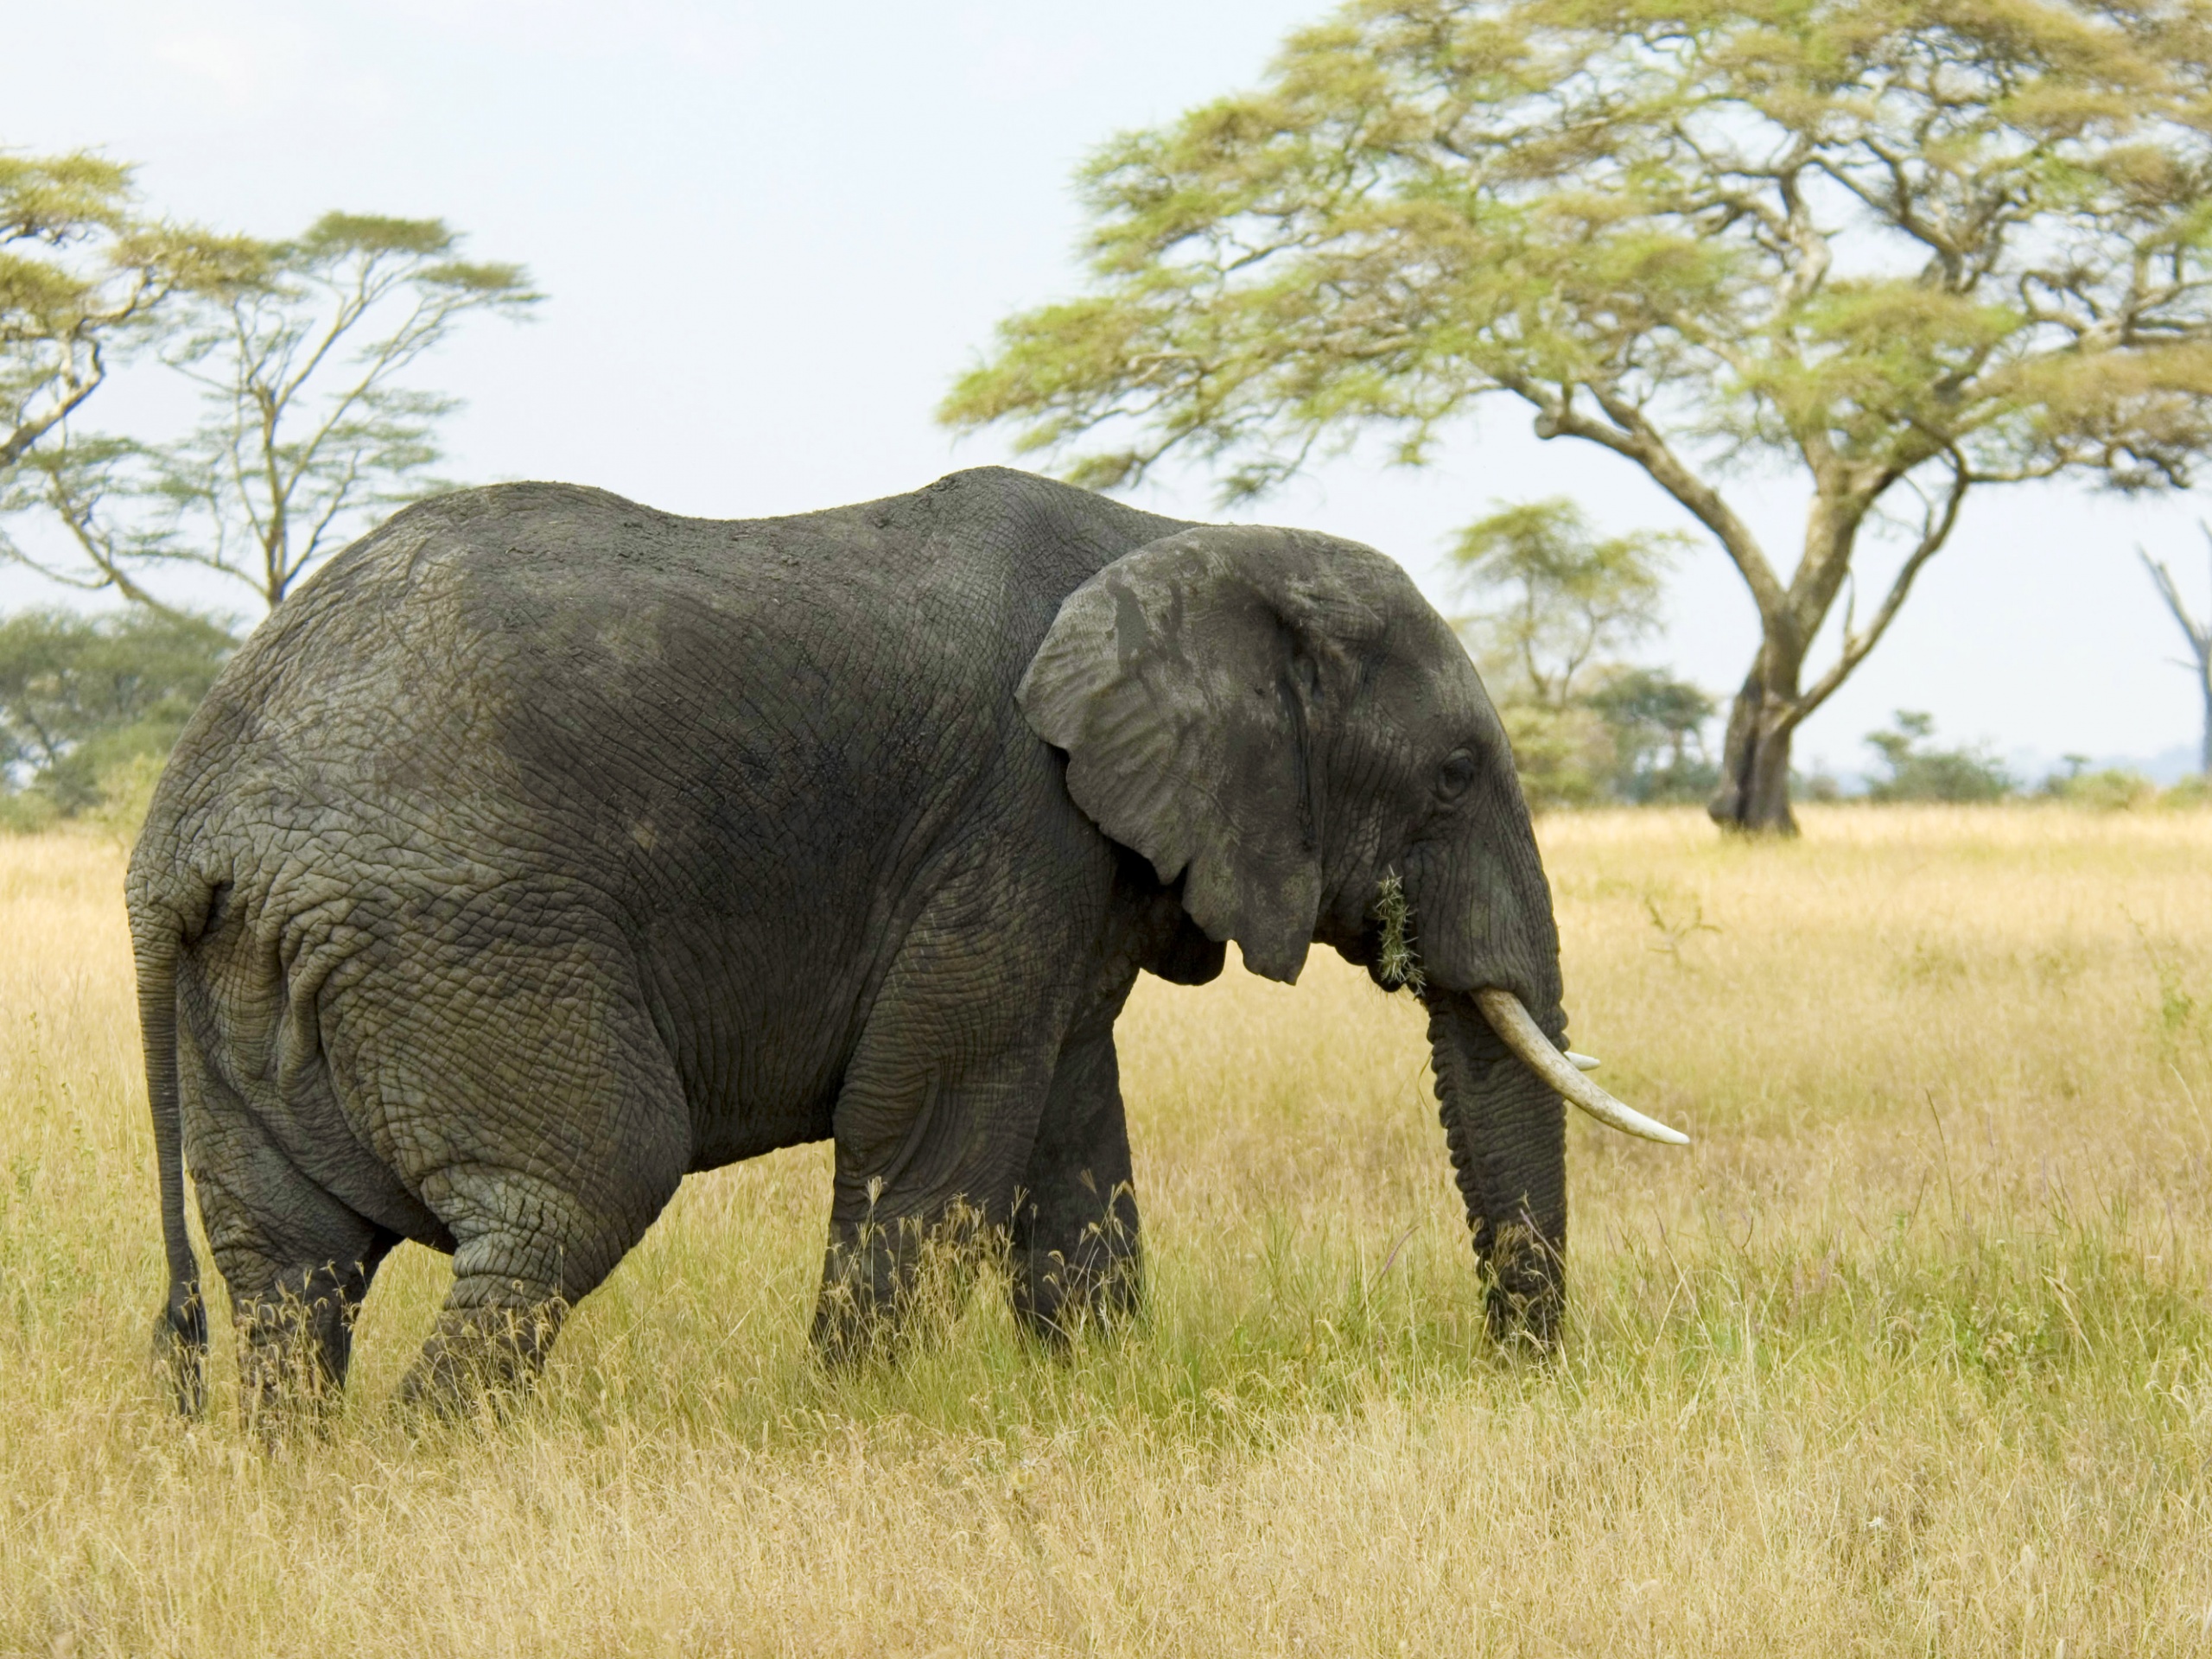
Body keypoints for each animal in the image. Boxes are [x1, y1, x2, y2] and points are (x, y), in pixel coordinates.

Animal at [128, 465, 1684, 1414]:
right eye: (1453, 777)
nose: (1515, 1375)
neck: (1180, 539)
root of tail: (186, 827)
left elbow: (1071, 1137)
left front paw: (1092, 1397)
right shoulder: (1012, 821)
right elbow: (930, 1128)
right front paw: (849, 1420)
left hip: (262, 975)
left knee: (291, 1272)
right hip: (464, 933)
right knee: (571, 1198)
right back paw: (432, 1468)